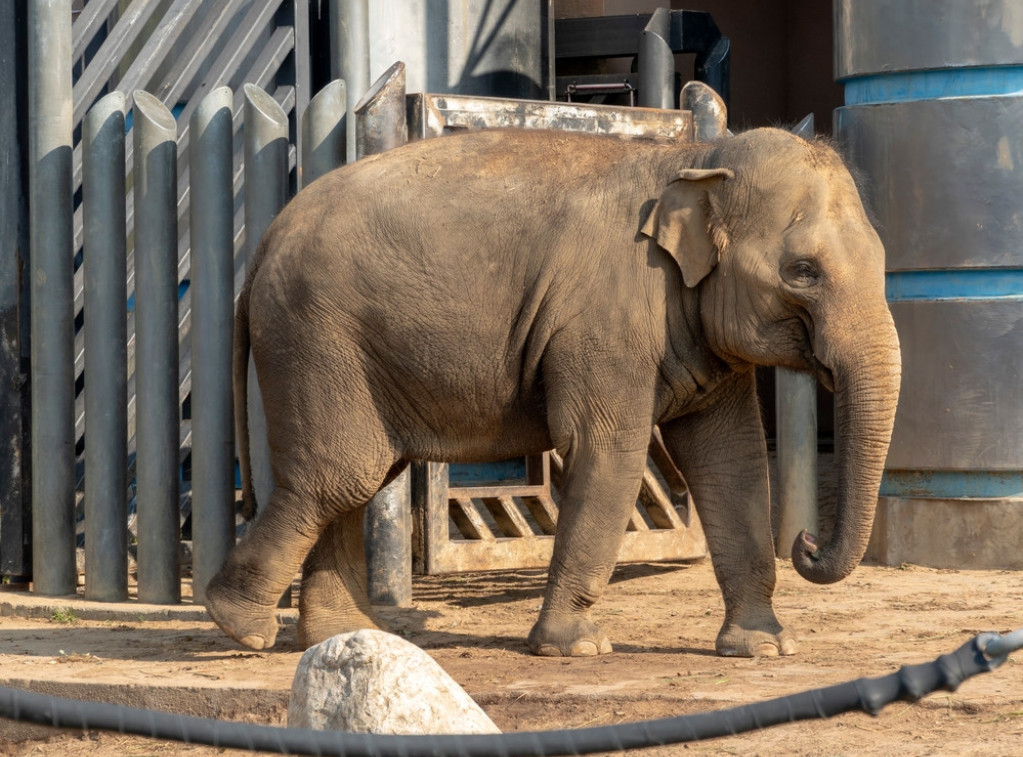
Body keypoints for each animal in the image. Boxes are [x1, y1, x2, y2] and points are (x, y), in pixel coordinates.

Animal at [203, 125, 900, 654]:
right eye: (803, 272)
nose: (807, 543)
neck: (696, 158)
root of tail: (260, 247)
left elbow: (733, 461)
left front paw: (764, 647)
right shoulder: (606, 318)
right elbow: (610, 453)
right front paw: (577, 647)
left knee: (357, 477)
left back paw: (341, 635)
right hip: (314, 336)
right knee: (340, 475)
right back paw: (241, 627)